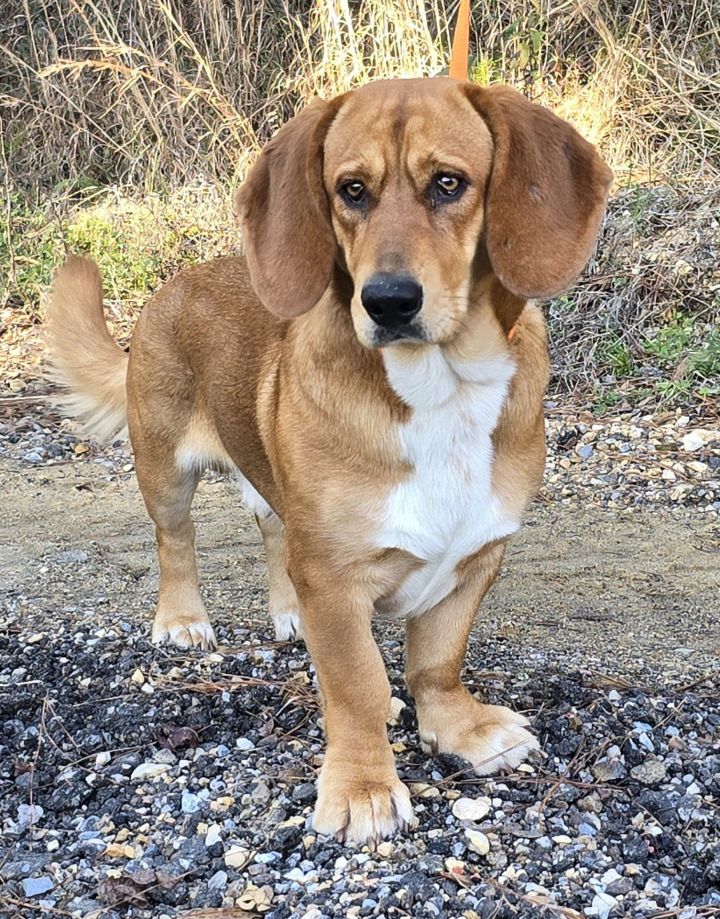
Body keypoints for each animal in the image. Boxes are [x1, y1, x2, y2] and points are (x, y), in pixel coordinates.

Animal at [46, 79, 608, 848]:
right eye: (352, 190)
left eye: (449, 183)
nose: (389, 301)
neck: (440, 388)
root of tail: (178, 280)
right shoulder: (337, 580)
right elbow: (357, 685)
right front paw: (364, 786)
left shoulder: (476, 558)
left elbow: (437, 661)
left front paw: (460, 729)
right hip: (164, 469)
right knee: (175, 540)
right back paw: (183, 620)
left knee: (273, 533)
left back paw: (289, 615)